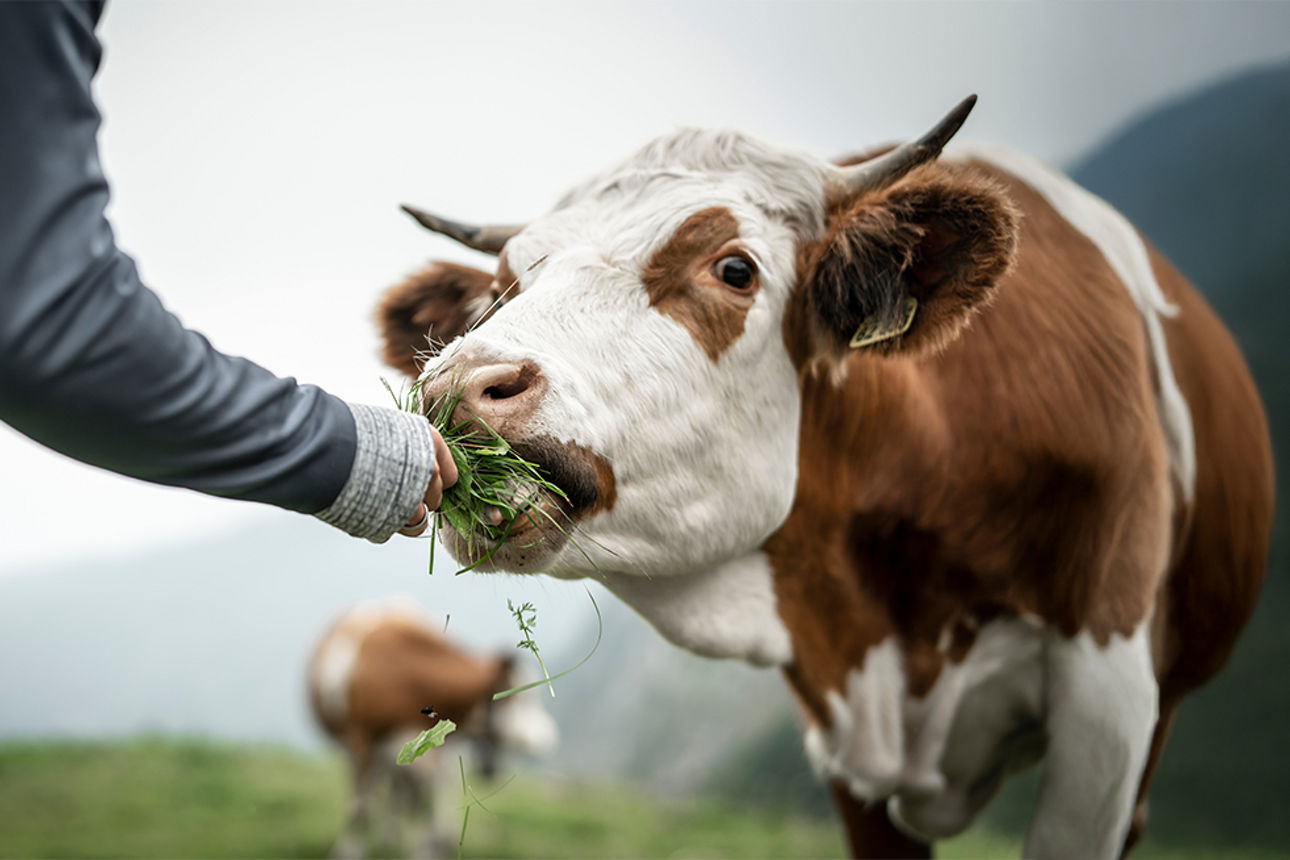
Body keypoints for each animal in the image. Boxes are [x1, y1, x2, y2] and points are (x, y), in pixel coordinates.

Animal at [308, 600, 558, 859]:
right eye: (524, 698)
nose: (550, 735)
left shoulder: (433, 754)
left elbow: (426, 805)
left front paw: (428, 849)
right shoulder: (363, 741)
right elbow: (360, 809)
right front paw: (347, 852)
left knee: (403, 798)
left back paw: (395, 839)